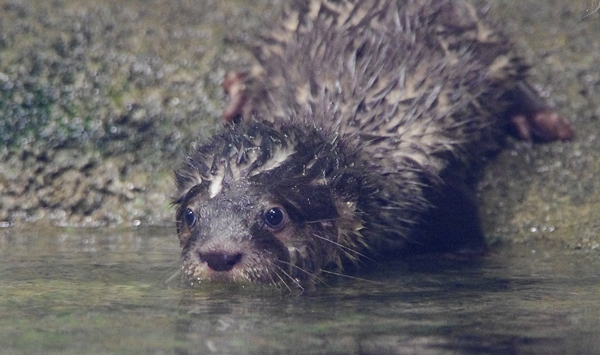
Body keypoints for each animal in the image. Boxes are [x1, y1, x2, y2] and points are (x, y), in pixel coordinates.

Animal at [172, 0, 572, 290]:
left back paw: (544, 120)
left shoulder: (438, 183)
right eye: (190, 215)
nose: (219, 255)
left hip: (483, 43)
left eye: (274, 215)